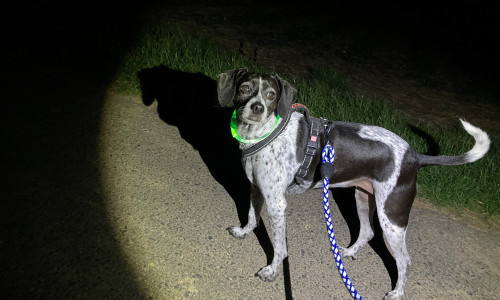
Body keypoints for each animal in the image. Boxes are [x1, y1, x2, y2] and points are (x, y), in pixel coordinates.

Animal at [217, 68, 490, 300]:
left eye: (271, 95)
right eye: (245, 88)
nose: (257, 108)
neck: (264, 134)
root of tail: (414, 156)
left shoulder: (276, 204)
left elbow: (279, 246)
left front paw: (273, 271)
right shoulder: (256, 188)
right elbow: (251, 216)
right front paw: (243, 232)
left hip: (392, 219)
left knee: (404, 260)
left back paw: (397, 293)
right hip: (362, 198)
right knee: (368, 232)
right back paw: (347, 252)